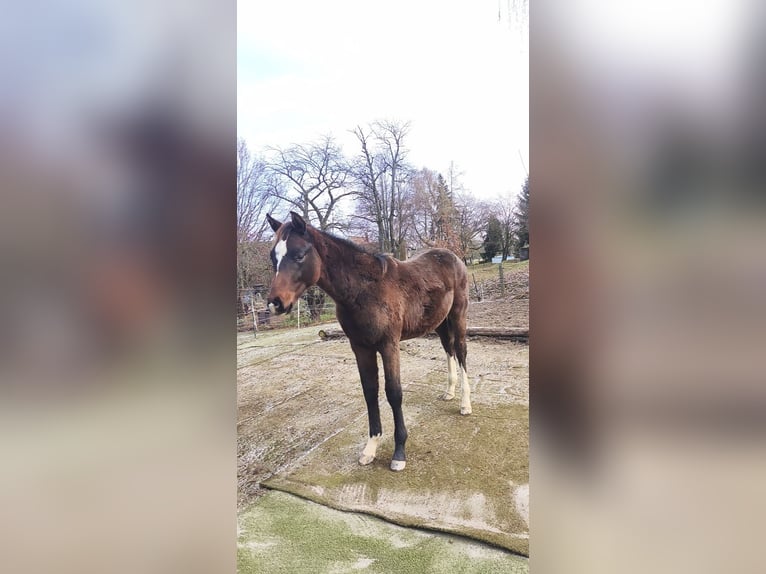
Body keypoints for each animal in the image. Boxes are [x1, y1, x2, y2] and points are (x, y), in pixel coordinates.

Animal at [265, 211, 471, 471]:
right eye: (273, 257)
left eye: (299, 254)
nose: (275, 303)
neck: (363, 290)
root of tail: (453, 256)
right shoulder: (360, 348)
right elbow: (370, 392)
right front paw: (370, 448)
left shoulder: (389, 345)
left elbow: (393, 392)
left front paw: (399, 453)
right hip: (441, 323)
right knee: (449, 350)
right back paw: (449, 392)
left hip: (458, 316)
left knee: (461, 351)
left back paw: (465, 404)